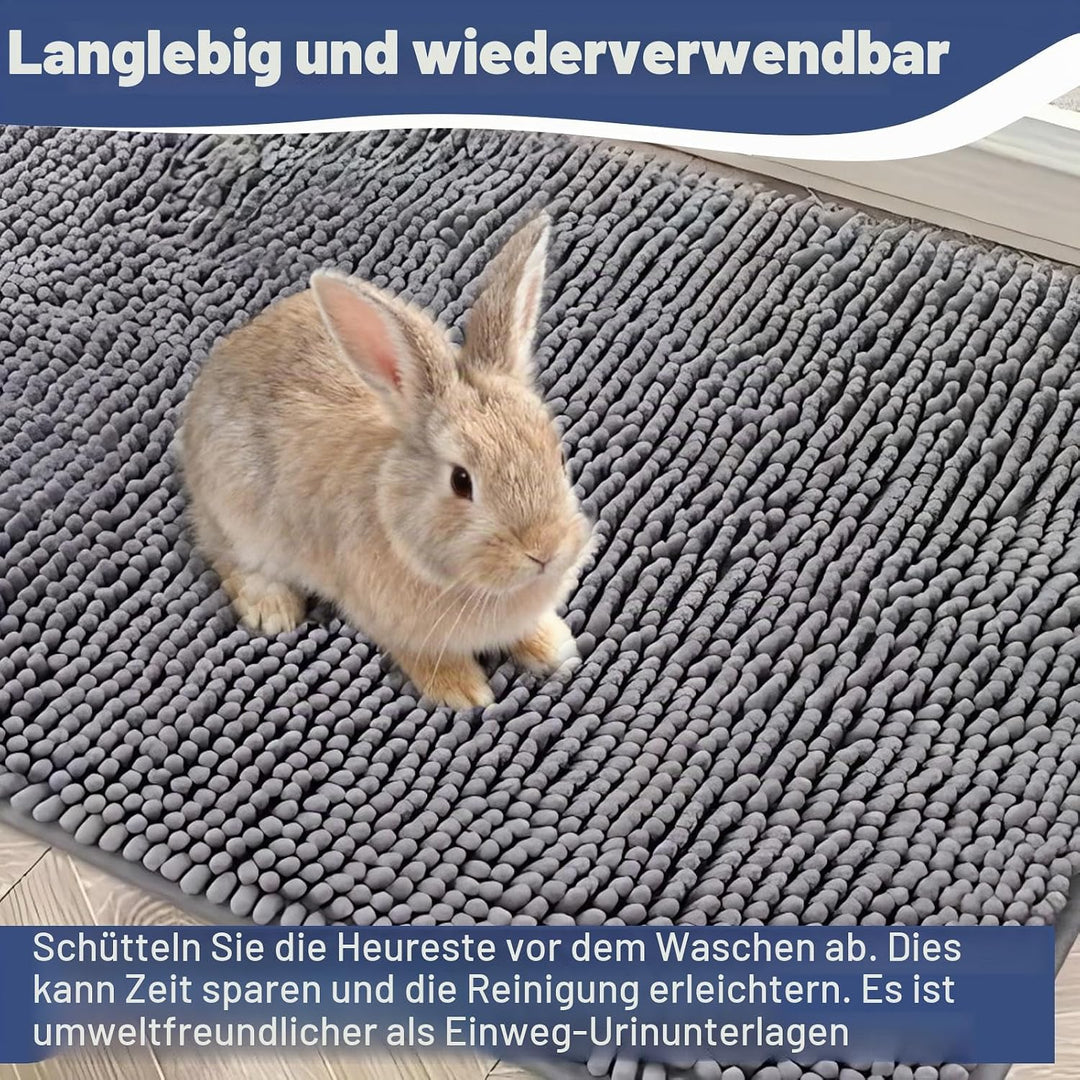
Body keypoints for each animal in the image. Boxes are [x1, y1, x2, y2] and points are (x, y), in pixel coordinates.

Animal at [178, 215, 592, 709]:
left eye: (558, 454)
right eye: (461, 481)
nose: (544, 551)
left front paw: (554, 647)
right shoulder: (390, 620)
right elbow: (424, 655)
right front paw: (464, 693)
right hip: (239, 516)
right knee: (225, 555)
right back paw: (273, 609)